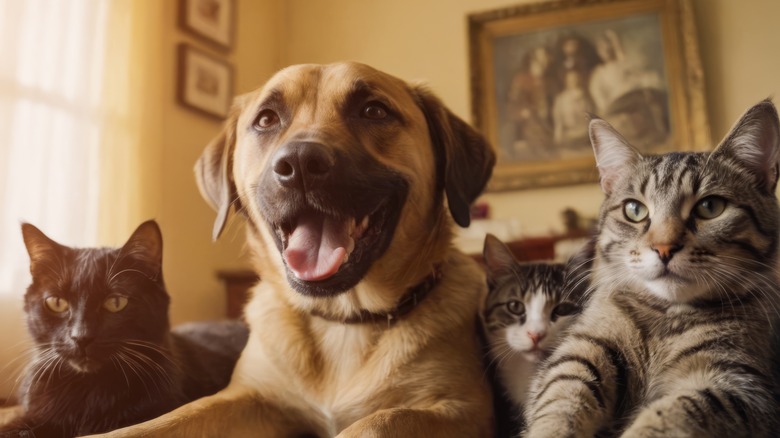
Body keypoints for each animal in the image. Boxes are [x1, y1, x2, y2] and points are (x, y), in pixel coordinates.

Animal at [96, 62, 494, 438]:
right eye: (266, 119)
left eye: (374, 110)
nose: (301, 163)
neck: (343, 319)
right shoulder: (249, 397)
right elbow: (160, 422)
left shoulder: (463, 410)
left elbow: (379, 421)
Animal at [520, 100, 780, 438]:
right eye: (634, 210)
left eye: (710, 207)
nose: (664, 248)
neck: (665, 319)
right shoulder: (581, 351)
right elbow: (562, 398)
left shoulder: (742, 384)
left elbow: (676, 410)